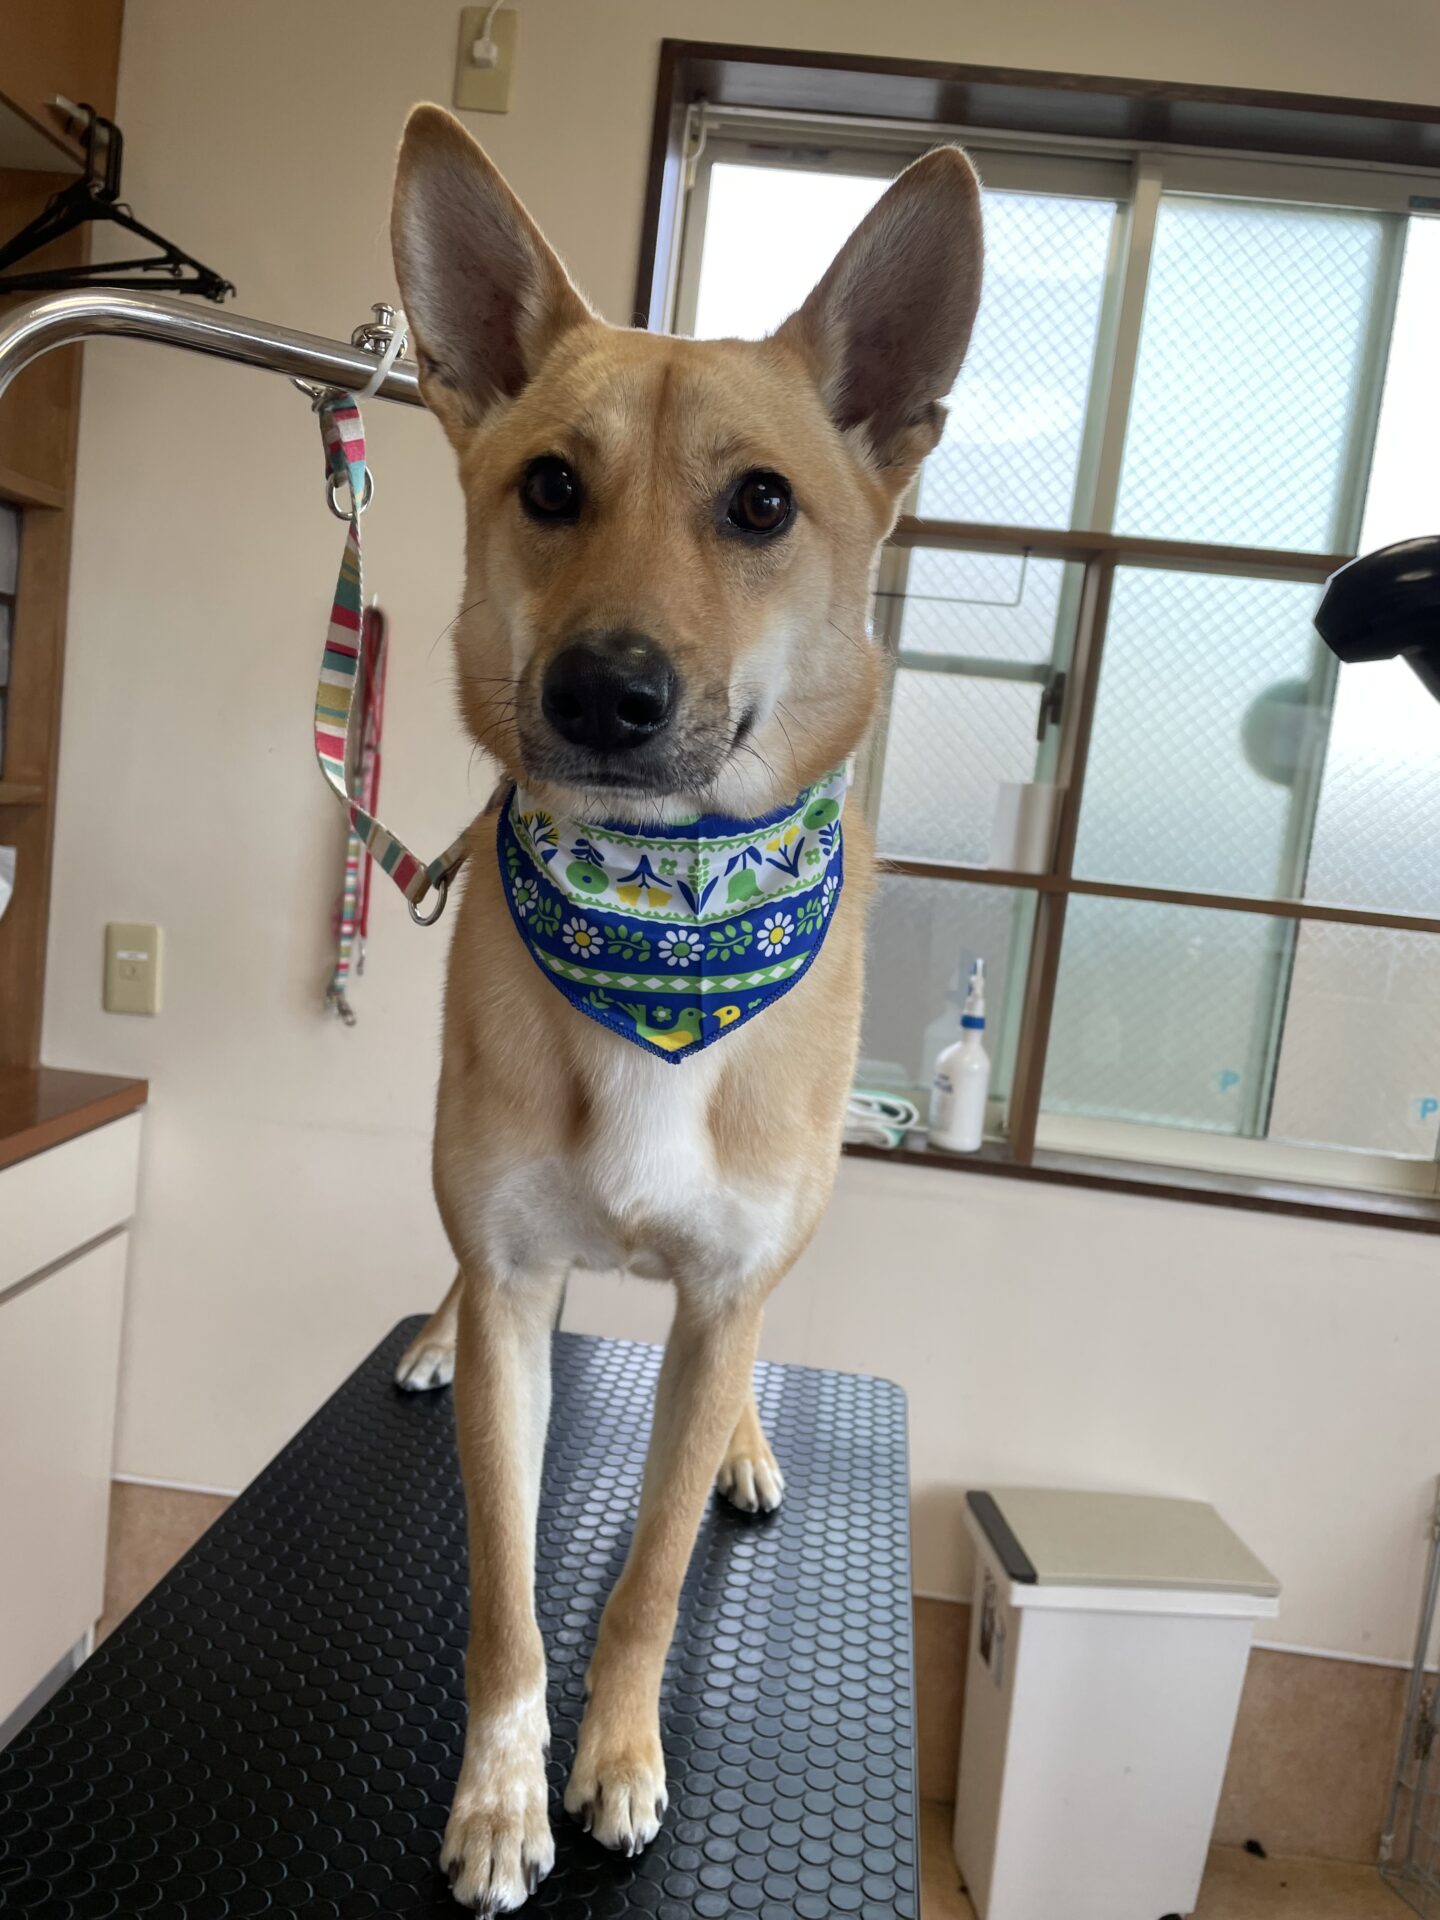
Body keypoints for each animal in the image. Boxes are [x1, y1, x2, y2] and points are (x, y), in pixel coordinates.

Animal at [386, 104, 982, 1913]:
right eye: (549, 486)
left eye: (763, 502)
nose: (606, 692)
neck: (663, 922)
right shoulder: (516, 1278)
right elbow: (503, 1592)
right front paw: (502, 1793)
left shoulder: (720, 1295)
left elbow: (645, 1575)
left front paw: (619, 1757)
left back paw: (745, 1449)